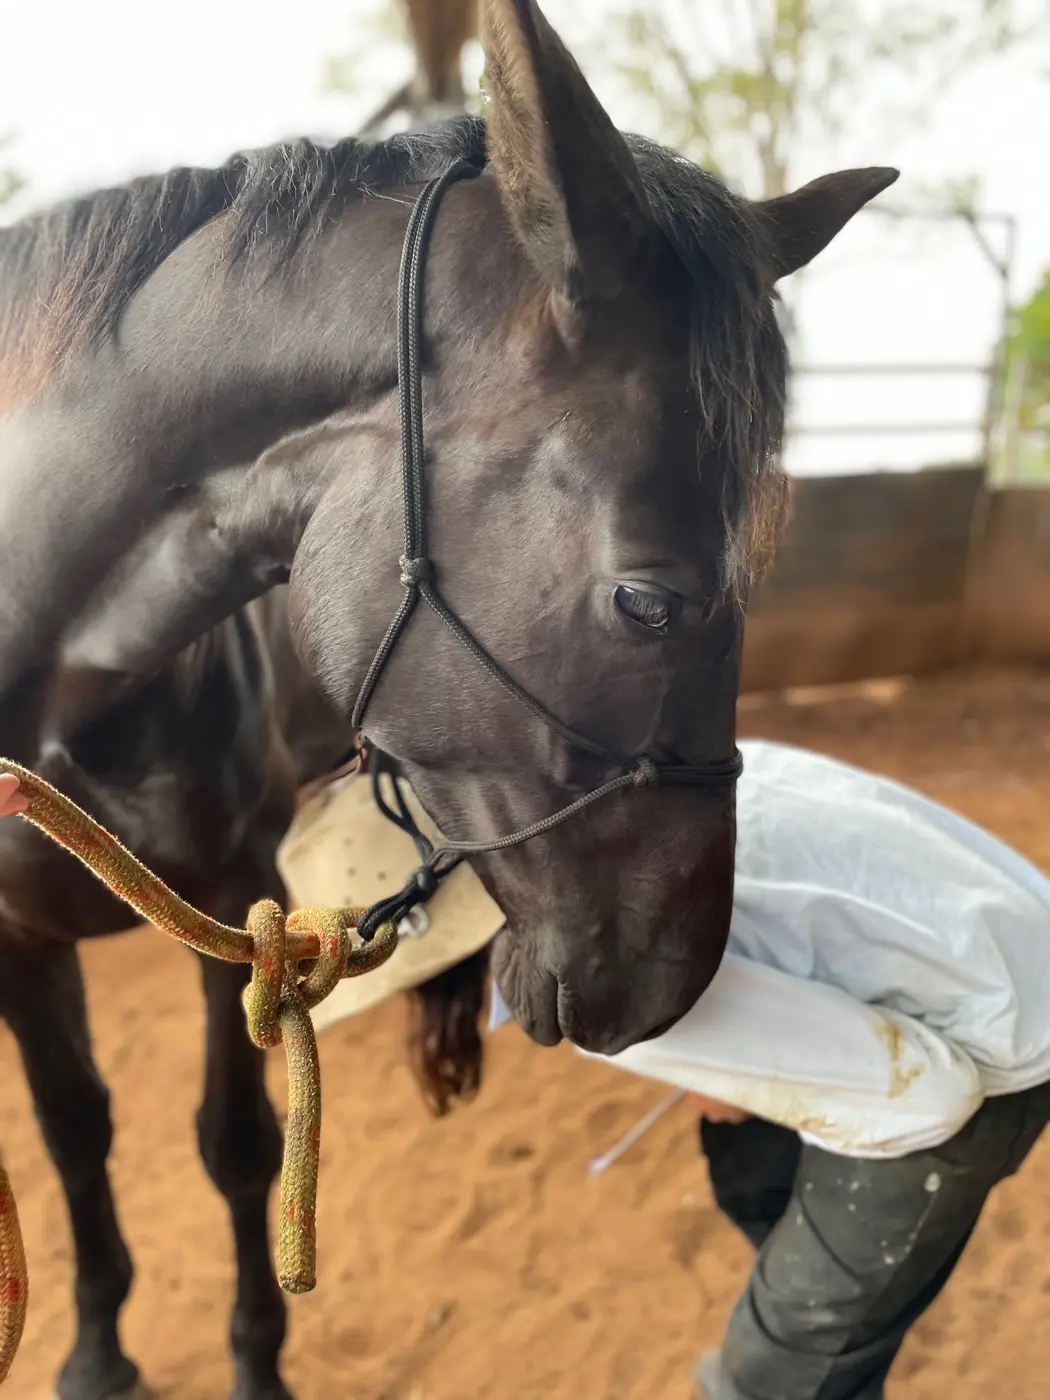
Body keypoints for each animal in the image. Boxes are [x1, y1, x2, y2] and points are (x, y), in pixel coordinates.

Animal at [0, 0, 897, 1324]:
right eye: (647, 598)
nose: (674, 979)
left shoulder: (233, 899)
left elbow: (232, 1142)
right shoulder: (27, 937)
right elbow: (76, 1134)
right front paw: (101, 1348)